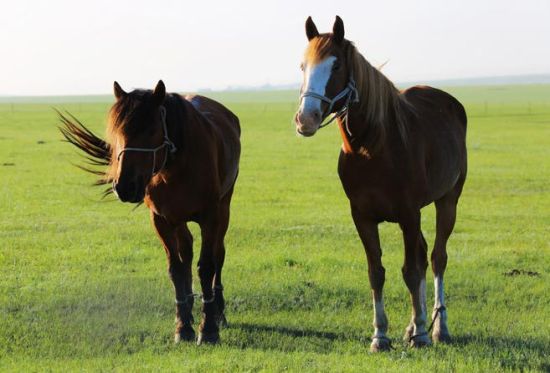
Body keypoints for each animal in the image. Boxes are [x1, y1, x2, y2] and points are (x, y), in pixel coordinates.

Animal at [60, 80, 242, 344]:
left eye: (151, 130)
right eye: (117, 131)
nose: (125, 186)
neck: (176, 168)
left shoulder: (210, 217)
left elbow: (206, 266)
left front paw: (208, 329)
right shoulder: (162, 220)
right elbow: (176, 268)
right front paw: (183, 326)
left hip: (223, 208)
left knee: (219, 253)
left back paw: (218, 310)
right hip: (179, 219)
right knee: (186, 251)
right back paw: (188, 306)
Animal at [296, 16, 468, 348]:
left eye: (336, 66)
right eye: (302, 66)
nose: (305, 118)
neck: (373, 149)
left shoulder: (409, 214)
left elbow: (411, 271)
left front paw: (423, 334)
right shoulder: (362, 217)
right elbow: (376, 272)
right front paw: (381, 334)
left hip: (448, 201)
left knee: (436, 257)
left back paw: (438, 327)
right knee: (424, 255)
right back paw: (413, 325)